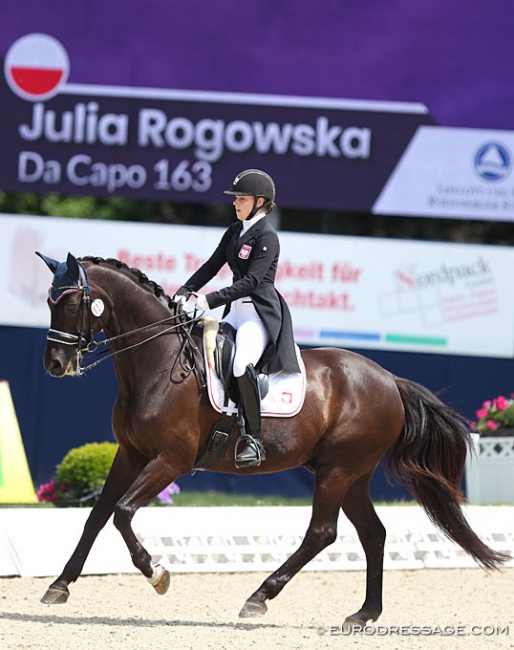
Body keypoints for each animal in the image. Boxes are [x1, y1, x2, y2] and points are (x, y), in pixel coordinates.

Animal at [37, 252, 508, 624]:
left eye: (73, 302)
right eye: (48, 301)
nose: (55, 364)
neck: (157, 363)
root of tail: (390, 379)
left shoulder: (171, 460)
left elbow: (122, 512)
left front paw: (158, 575)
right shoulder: (131, 454)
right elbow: (97, 515)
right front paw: (59, 586)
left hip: (338, 469)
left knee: (322, 532)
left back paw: (259, 597)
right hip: (353, 473)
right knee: (372, 533)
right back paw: (363, 614)